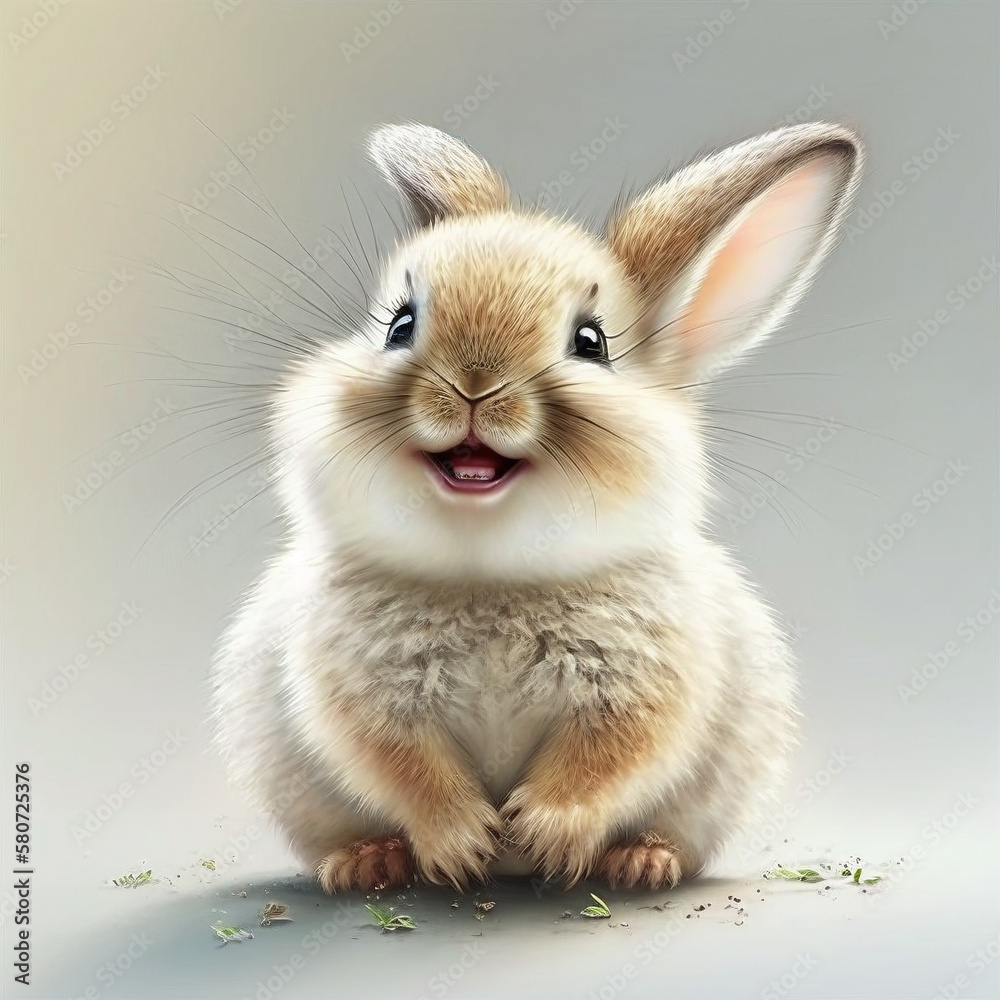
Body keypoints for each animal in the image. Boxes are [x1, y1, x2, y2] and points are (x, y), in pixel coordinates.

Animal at [210, 119, 863, 894]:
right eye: (400, 326)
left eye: (592, 342)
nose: (473, 384)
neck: (490, 574)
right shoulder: (363, 702)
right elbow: (406, 770)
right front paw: (465, 846)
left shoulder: (639, 694)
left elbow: (605, 759)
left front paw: (543, 835)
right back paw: (367, 864)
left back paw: (642, 862)